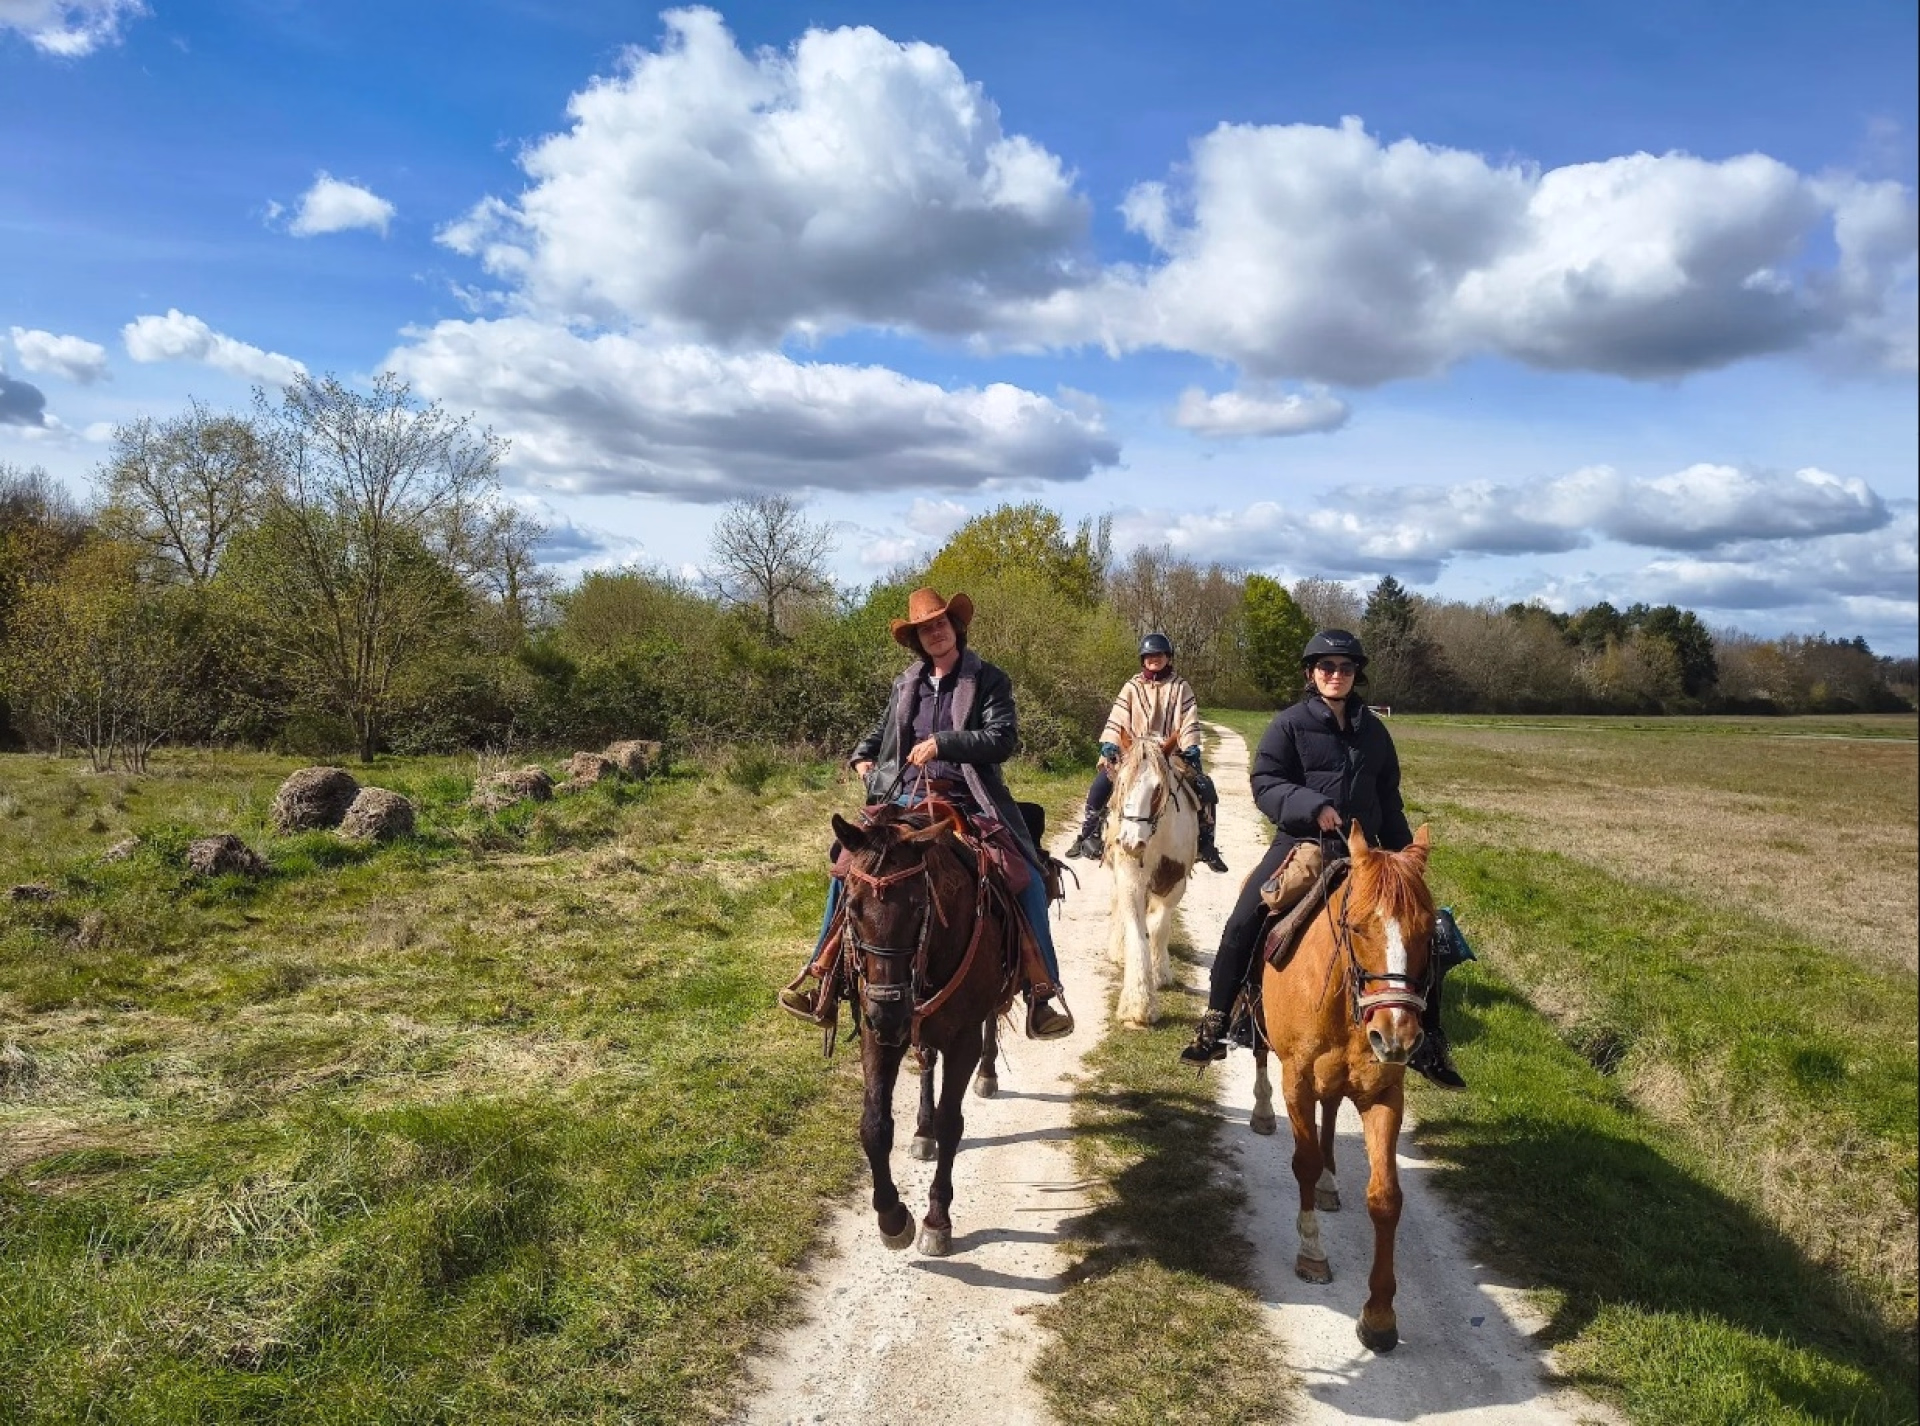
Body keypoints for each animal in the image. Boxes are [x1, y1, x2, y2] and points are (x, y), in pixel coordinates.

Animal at [830, 801, 1026, 1256]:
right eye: (852, 906)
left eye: (920, 906)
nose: (888, 1010)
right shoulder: (877, 1035)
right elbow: (874, 1125)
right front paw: (890, 1217)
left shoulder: (963, 1039)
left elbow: (952, 1123)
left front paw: (936, 1220)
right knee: (925, 1062)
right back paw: (922, 1129)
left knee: (989, 1026)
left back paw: (987, 1075)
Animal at [1105, 728, 1200, 1027]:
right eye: (1122, 782)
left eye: (1158, 789)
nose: (1131, 842)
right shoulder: (1130, 877)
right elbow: (1137, 930)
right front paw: (1137, 1006)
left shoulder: (1174, 880)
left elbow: (1158, 925)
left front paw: (1160, 973)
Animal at [1248, 819, 1436, 1353]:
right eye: (1356, 926)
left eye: (1428, 933)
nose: (1396, 1036)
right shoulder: (1296, 1080)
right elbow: (1304, 1161)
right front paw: (1311, 1252)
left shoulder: (1384, 1096)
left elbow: (1386, 1198)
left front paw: (1379, 1316)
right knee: (1260, 1055)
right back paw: (1262, 1114)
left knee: (1331, 1112)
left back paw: (1331, 1184)